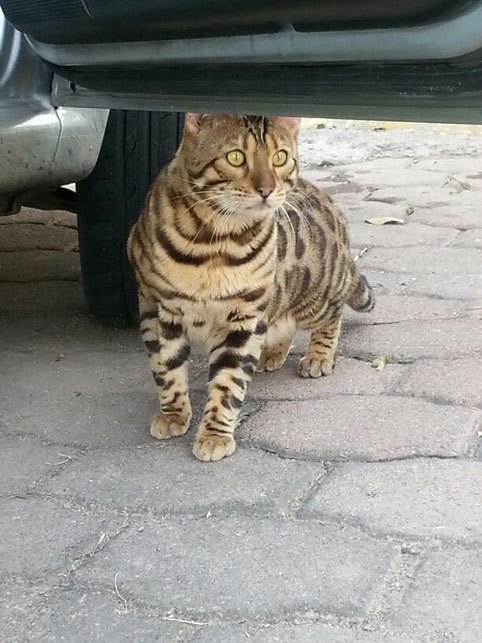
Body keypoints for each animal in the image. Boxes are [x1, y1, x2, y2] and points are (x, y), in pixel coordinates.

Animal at [127, 113, 372, 460]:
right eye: (235, 157)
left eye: (279, 157)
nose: (266, 189)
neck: (215, 243)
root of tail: (332, 207)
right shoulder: (156, 309)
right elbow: (167, 369)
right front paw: (173, 413)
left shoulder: (245, 314)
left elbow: (228, 381)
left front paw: (214, 434)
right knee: (283, 321)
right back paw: (272, 352)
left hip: (311, 294)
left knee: (332, 312)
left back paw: (319, 356)